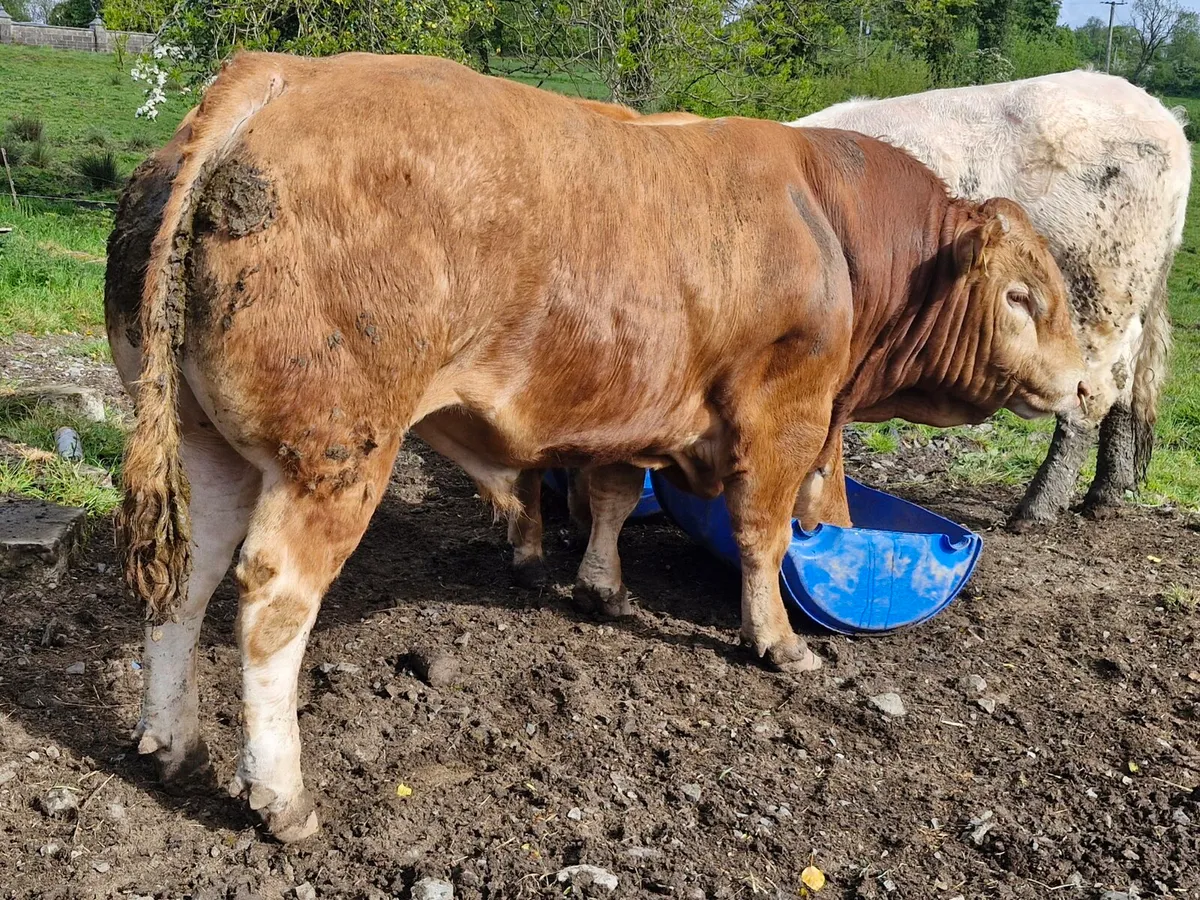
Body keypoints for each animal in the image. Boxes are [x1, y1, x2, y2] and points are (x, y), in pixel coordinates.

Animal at [107, 51, 1086, 840]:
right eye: (1024, 296)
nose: (1086, 381)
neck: (827, 221)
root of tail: (278, 74)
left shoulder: (635, 406)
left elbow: (614, 497)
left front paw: (603, 588)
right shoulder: (786, 415)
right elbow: (764, 537)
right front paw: (777, 641)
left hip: (207, 441)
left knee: (187, 580)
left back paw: (172, 740)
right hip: (332, 454)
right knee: (273, 601)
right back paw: (281, 795)